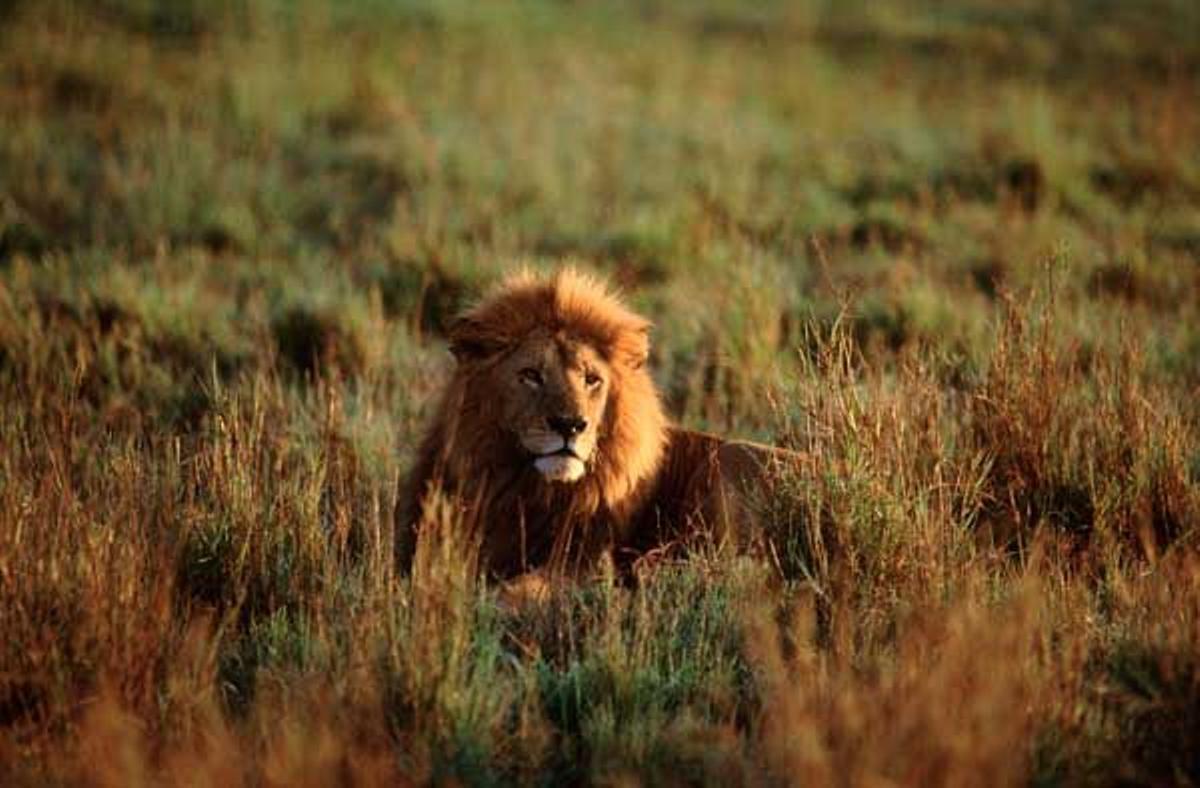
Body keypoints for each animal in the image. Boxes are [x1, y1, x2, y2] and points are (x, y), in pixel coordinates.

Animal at [397, 268, 801, 589]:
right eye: (530, 375)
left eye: (591, 379)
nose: (570, 425)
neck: (524, 491)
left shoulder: (581, 564)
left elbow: (522, 588)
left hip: (731, 458)